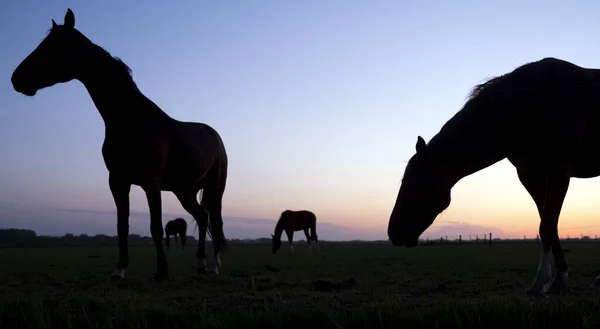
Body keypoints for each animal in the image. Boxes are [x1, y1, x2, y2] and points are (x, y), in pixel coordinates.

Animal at [9, 9, 230, 280]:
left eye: (54, 47)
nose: (17, 79)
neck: (130, 119)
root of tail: (214, 135)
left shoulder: (151, 182)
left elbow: (155, 226)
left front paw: (161, 272)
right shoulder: (117, 181)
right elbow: (121, 225)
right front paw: (119, 269)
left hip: (214, 189)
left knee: (214, 220)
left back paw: (214, 266)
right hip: (184, 190)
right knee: (201, 217)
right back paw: (200, 264)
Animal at [386, 57, 600, 296]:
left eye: (413, 183)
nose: (393, 232)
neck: (530, 103)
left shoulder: (559, 170)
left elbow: (546, 225)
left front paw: (550, 281)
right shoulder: (531, 176)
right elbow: (548, 225)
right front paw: (550, 280)